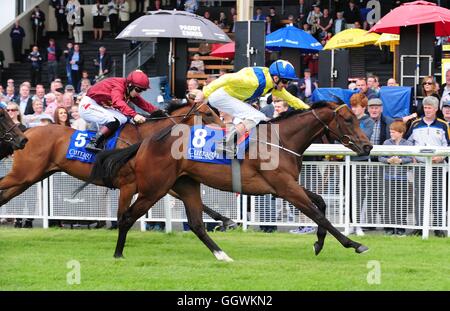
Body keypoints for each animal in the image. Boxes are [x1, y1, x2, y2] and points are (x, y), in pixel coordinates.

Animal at [0, 102, 237, 229]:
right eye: (208, 113)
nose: (228, 132)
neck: (148, 138)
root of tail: (27, 132)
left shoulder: (158, 181)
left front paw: (225, 219)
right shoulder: (136, 182)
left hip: (29, 178)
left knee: (4, 196)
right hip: (24, 174)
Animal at [84, 100, 372, 260]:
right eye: (348, 119)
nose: (368, 146)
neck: (280, 140)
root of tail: (145, 142)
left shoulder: (285, 187)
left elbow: (321, 203)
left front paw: (318, 243)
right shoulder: (285, 188)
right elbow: (318, 214)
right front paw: (354, 244)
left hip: (185, 184)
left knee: (197, 224)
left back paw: (223, 255)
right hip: (154, 188)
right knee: (127, 217)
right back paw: (118, 253)